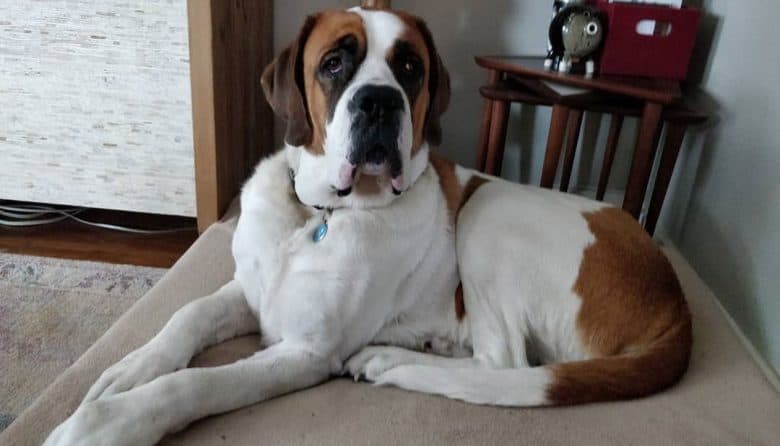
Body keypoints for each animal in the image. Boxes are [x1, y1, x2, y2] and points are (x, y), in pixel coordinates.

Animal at [45, 7, 692, 446]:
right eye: (334, 63)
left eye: (409, 69)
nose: (379, 101)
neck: (317, 214)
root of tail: (676, 302)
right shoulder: (251, 292)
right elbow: (187, 315)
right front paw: (126, 370)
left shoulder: (306, 351)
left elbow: (198, 385)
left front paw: (106, 424)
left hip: (494, 211)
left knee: (507, 366)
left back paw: (388, 360)